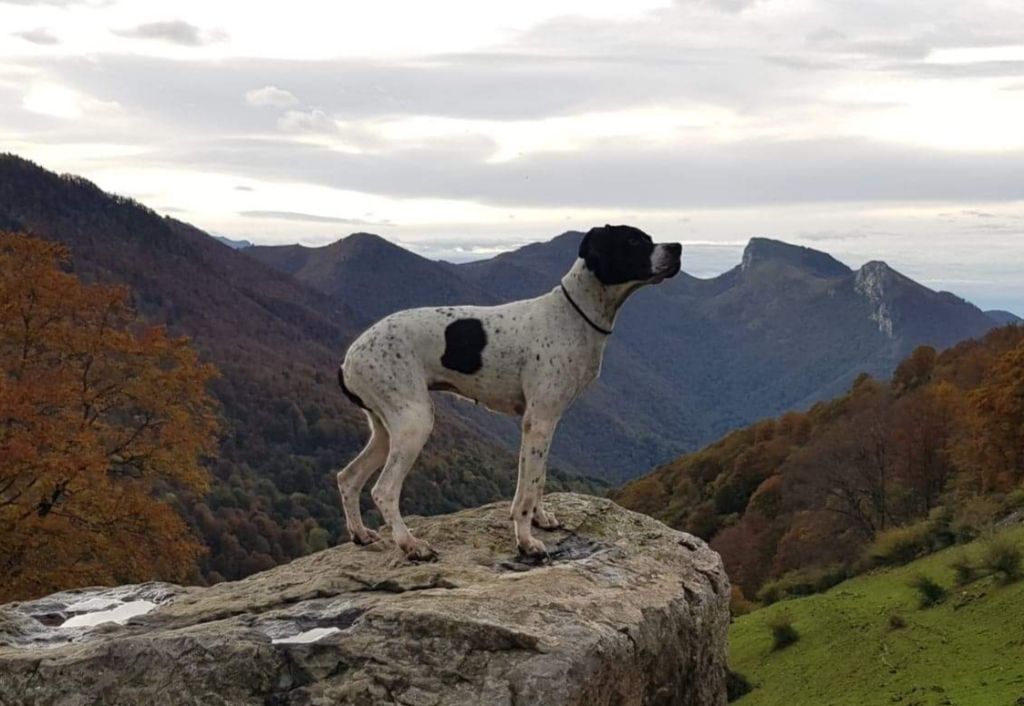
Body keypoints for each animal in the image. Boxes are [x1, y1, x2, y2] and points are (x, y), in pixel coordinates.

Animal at [335, 223, 684, 557]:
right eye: (633, 241)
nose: (678, 247)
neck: (571, 315)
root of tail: (349, 357)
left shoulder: (538, 423)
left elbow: (534, 479)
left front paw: (539, 520)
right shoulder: (540, 421)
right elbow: (529, 489)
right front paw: (526, 542)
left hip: (386, 429)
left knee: (348, 478)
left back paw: (360, 534)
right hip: (414, 423)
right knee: (384, 490)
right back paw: (411, 545)